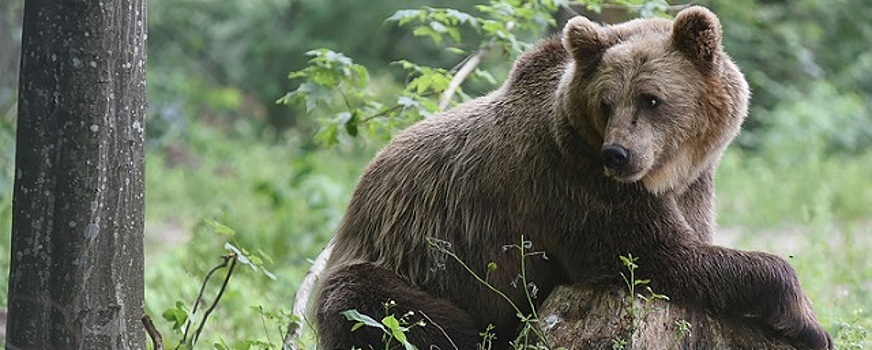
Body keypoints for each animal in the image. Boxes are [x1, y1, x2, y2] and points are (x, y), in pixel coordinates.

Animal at [314, 6, 832, 350]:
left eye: (651, 98)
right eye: (606, 102)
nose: (617, 154)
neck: (665, 172)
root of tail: (356, 201)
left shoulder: (692, 186)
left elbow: (687, 244)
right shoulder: (575, 183)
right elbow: (658, 257)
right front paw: (807, 321)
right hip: (394, 263)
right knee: (389, 313)